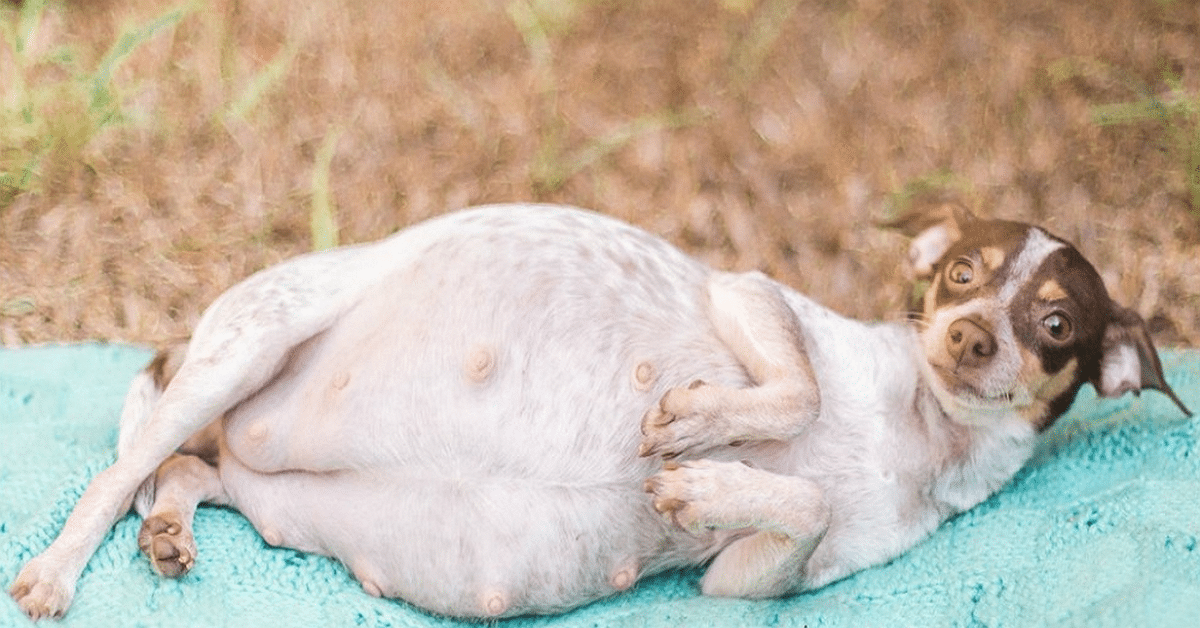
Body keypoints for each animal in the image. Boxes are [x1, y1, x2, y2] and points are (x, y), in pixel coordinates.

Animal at [9, 202, 1190, 619]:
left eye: (1053, 323)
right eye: (960, 276)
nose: (970, 338)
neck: (920, 428)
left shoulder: (745, 583)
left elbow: (797, 506)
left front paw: (709, 477)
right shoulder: (749, 295)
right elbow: (795, 393)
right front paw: (707, 435)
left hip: (261, 477)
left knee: (189, 471)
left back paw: (169, 530)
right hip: (245, 348)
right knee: (117, 470)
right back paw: (62, 568)